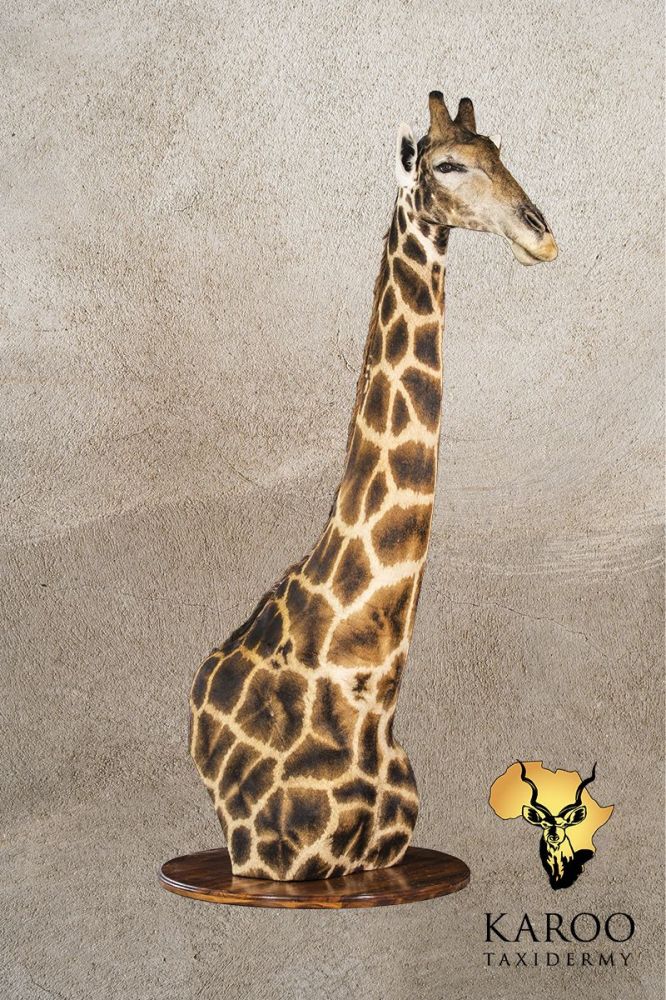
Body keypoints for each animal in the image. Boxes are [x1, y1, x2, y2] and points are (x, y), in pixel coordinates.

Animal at [189, 92, 558, 881]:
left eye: (500, 152)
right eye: (446, 164)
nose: (540, 237)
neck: (366, 691)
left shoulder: (385, 853)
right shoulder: (267, 859)